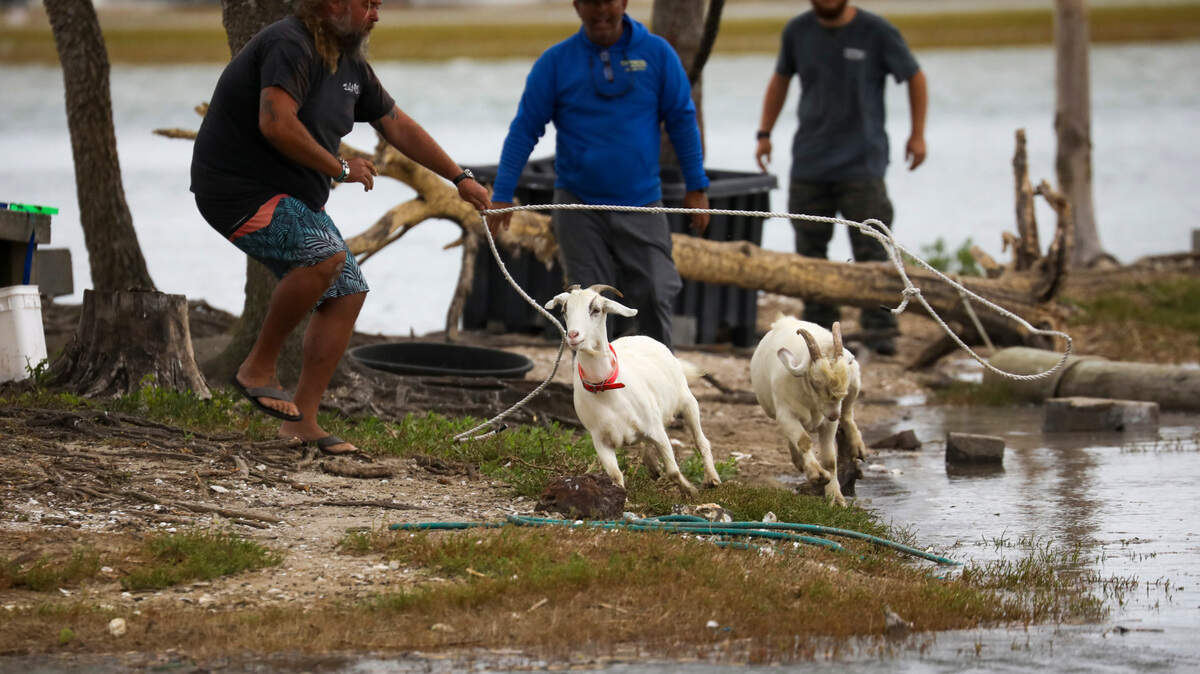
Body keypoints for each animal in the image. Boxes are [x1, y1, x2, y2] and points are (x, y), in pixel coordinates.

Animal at [544, 284, 720, 497]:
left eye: (596, 309)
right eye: (564, 311)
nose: (573, 335)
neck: (607, 391)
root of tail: (641, 337)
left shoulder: (656, 429)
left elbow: (673, 470)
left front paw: (691, 491)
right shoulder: (600, 440)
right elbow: (615, 476)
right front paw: (620, 498)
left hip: (687, 401)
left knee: (701, 441)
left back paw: (712, 478)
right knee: (647, 446)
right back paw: (653, 466)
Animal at [749, 316, 866, 506]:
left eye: (844, 382)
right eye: (815, 382)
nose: (834, 415)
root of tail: (785, 320)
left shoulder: (828, 423)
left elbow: (830, 460)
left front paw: (836, 498)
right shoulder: (786, 415)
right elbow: (803, 440)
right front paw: (817, 475)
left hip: (855, 385)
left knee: (848, 414)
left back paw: (858, 447)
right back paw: (799, 462)